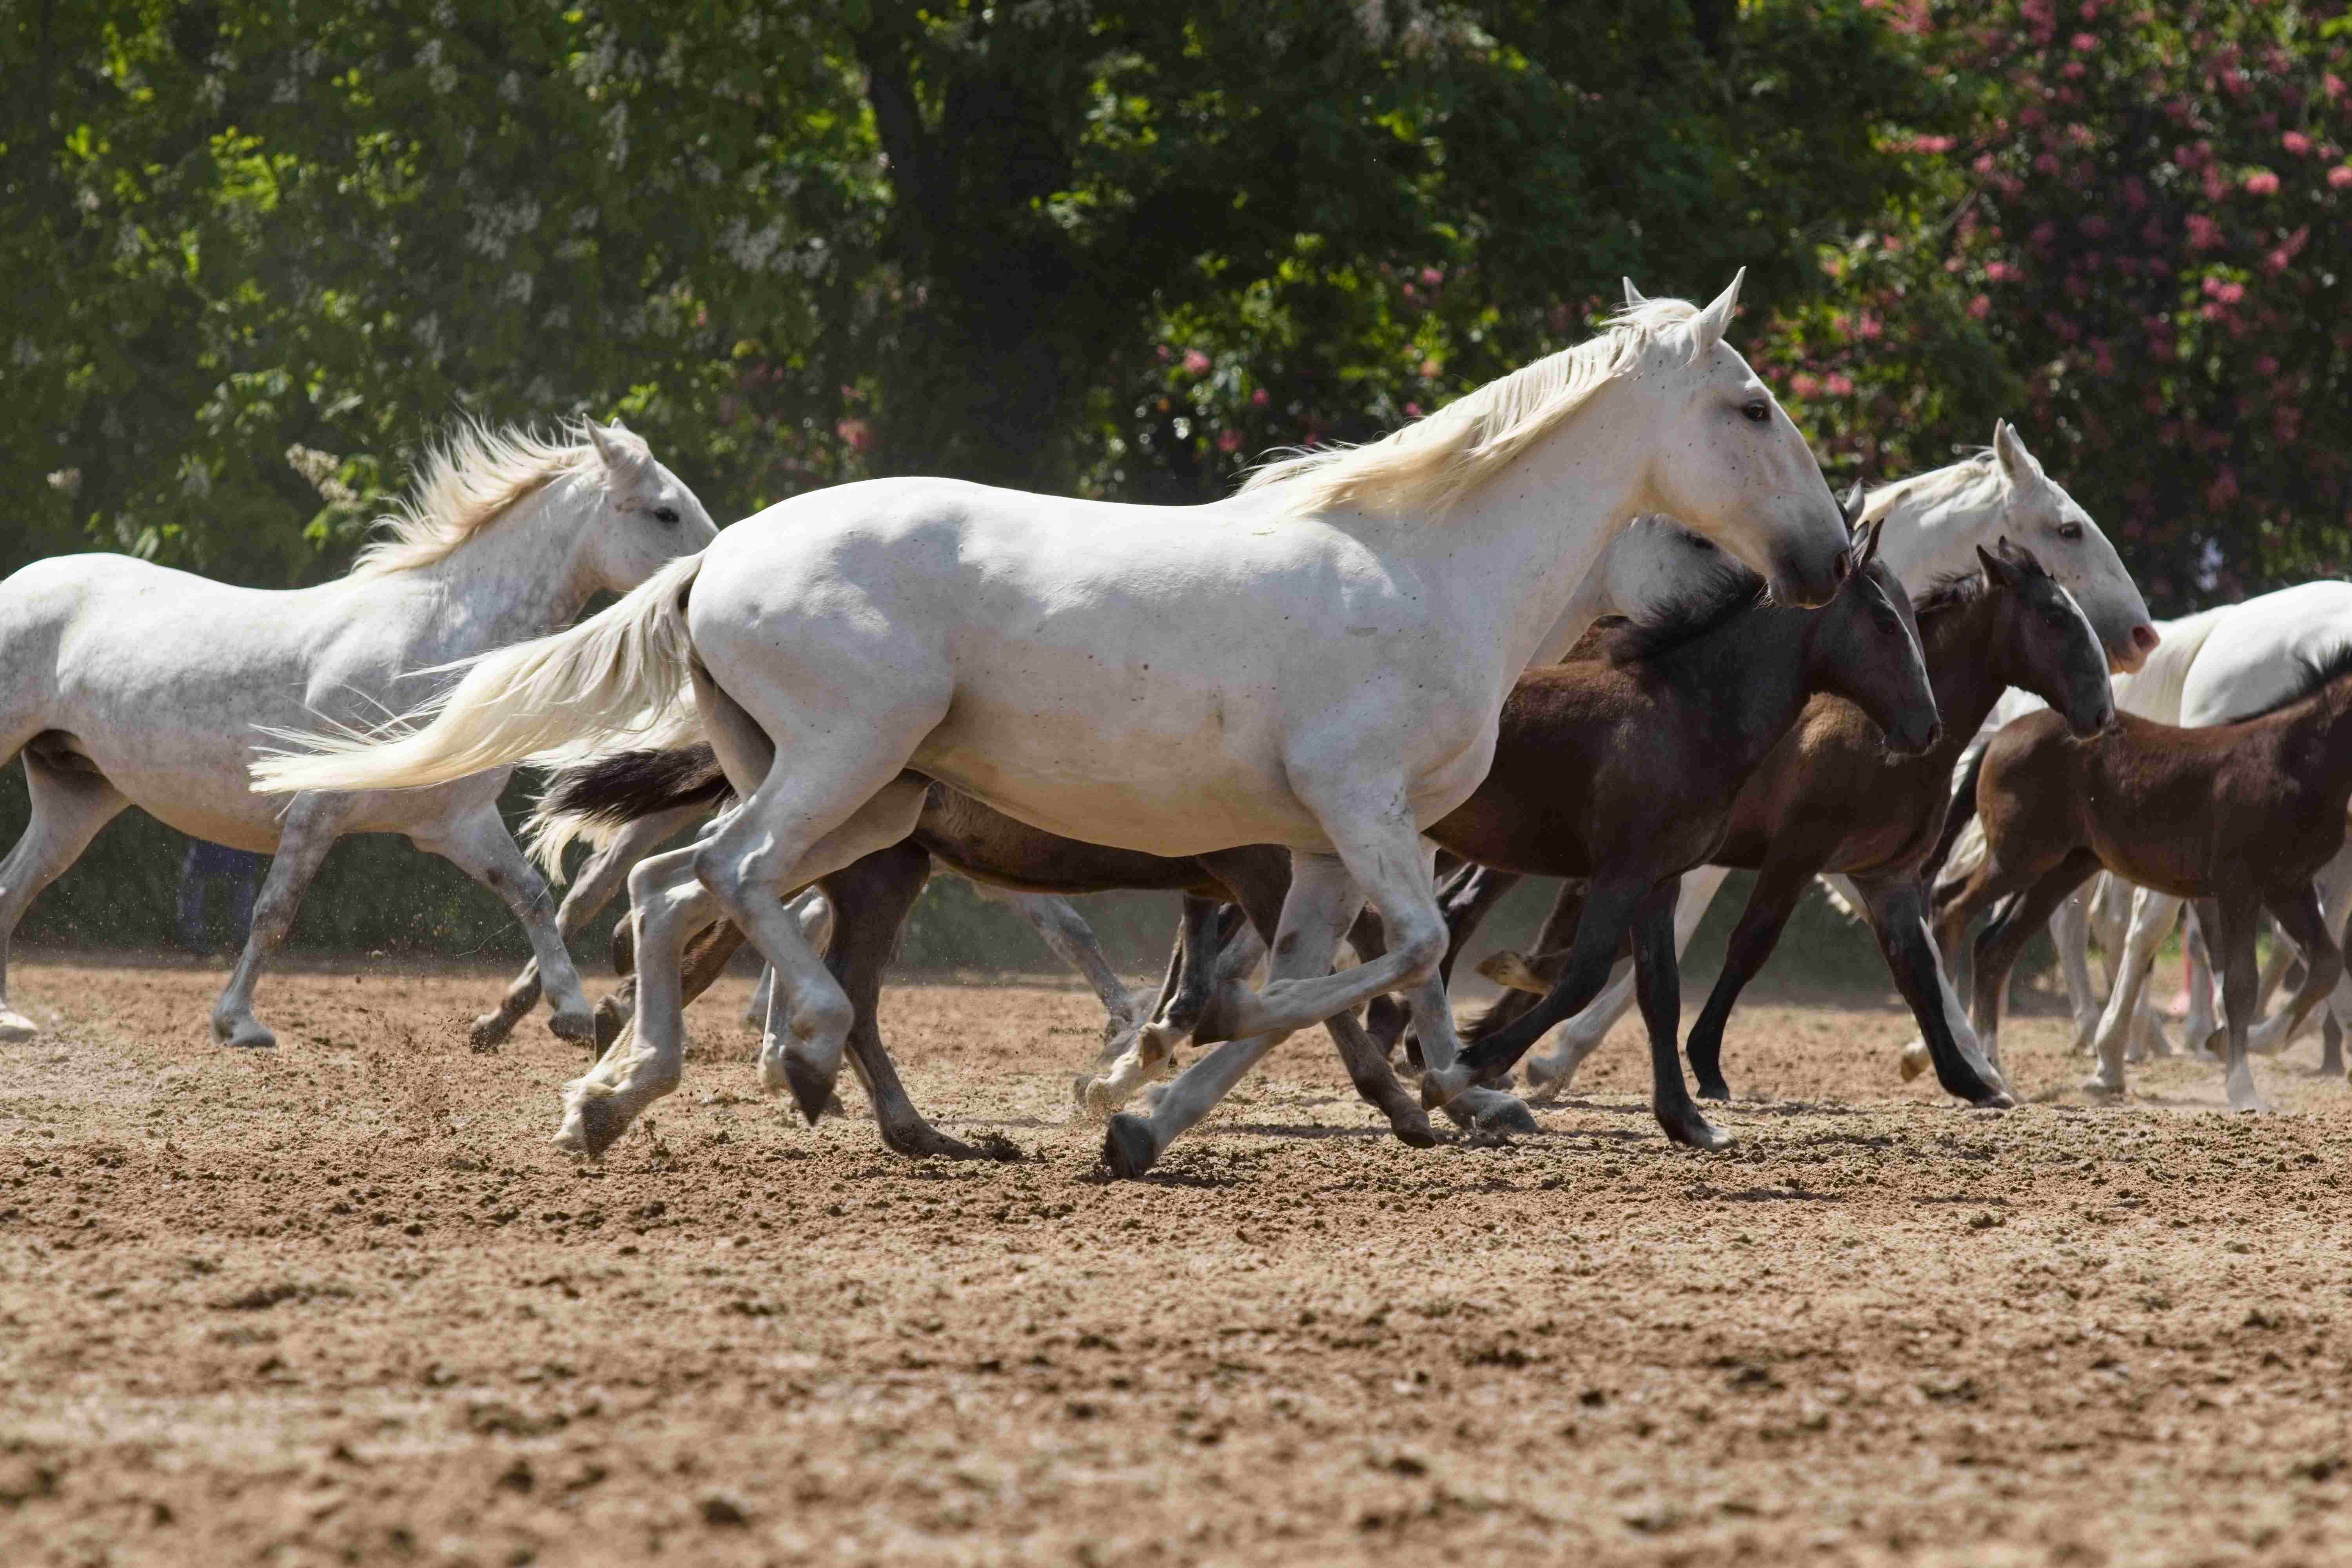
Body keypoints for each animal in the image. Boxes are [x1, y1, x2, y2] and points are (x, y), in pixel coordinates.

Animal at [0, 423, 715, 1048]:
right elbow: (275, 912)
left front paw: (569, 1013)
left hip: (77, 795)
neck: (434, 642)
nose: (712, 585)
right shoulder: (318, 807)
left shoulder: (457, 822)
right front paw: (239, 1025)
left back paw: (9, 1021)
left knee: (13, 886)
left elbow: (533, 895)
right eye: (666, 513)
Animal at [258, 278, 1863, 1175]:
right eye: (1750, 405)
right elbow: (1393, 961)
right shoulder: (1362, 812)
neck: (1428, 571)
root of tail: (717, 560)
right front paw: (1183, 1048)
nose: (1817, 559)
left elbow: (1329, 983)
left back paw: (614, 1094)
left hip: (849, 789)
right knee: (733, 886)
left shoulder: (1313, 844)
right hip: (848, 764)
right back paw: (796, 1055)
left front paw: (1147, 1117)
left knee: (668, 884)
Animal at [1496, 423, 2154, 1100]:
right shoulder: (1783, 852)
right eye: (2068, 531)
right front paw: (1690, 1061)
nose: (2105, 702)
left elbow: (1916, 964)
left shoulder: (1874, 869)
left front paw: (1968, 1072)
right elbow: (1739, 943)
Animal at [1919, 649, 2352, 1114]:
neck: (2291, 759)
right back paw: (1962, 1058)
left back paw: (1995, 1070)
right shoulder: (2240, 885)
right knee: (1951, 908)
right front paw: (2243, 1088)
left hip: (2065, 867)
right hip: (2020, 857)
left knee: (1994, 947)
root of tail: (1998, 738)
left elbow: (2326, 964)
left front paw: (2235, 1044)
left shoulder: (2289, 886)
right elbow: (2241, 984)